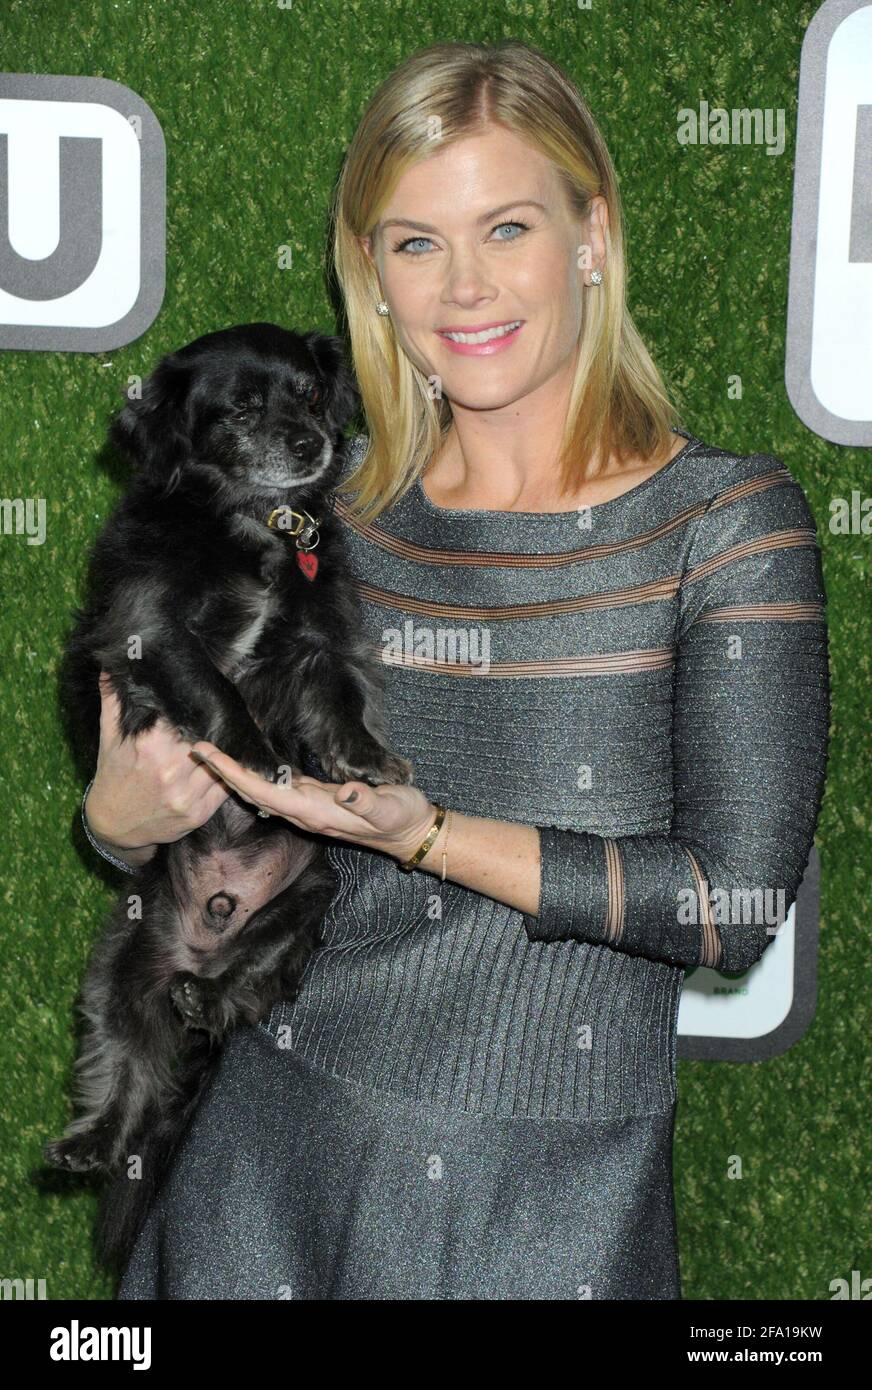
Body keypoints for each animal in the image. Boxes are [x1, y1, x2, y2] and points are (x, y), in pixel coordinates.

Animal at [41, 325, 408, 1273]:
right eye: (239, 409)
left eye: (311, 393)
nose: (312, 445)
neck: (254, 523)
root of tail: (199, 944)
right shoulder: (151, 629)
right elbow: (217, 693)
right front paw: (255, 757)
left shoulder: (319, 639)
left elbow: (338, 699)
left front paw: (366, 760)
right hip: (120, 975)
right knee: (127, 1065)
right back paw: (95, 1140)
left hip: (309, 895)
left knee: (250, 985)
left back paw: (212, 996)